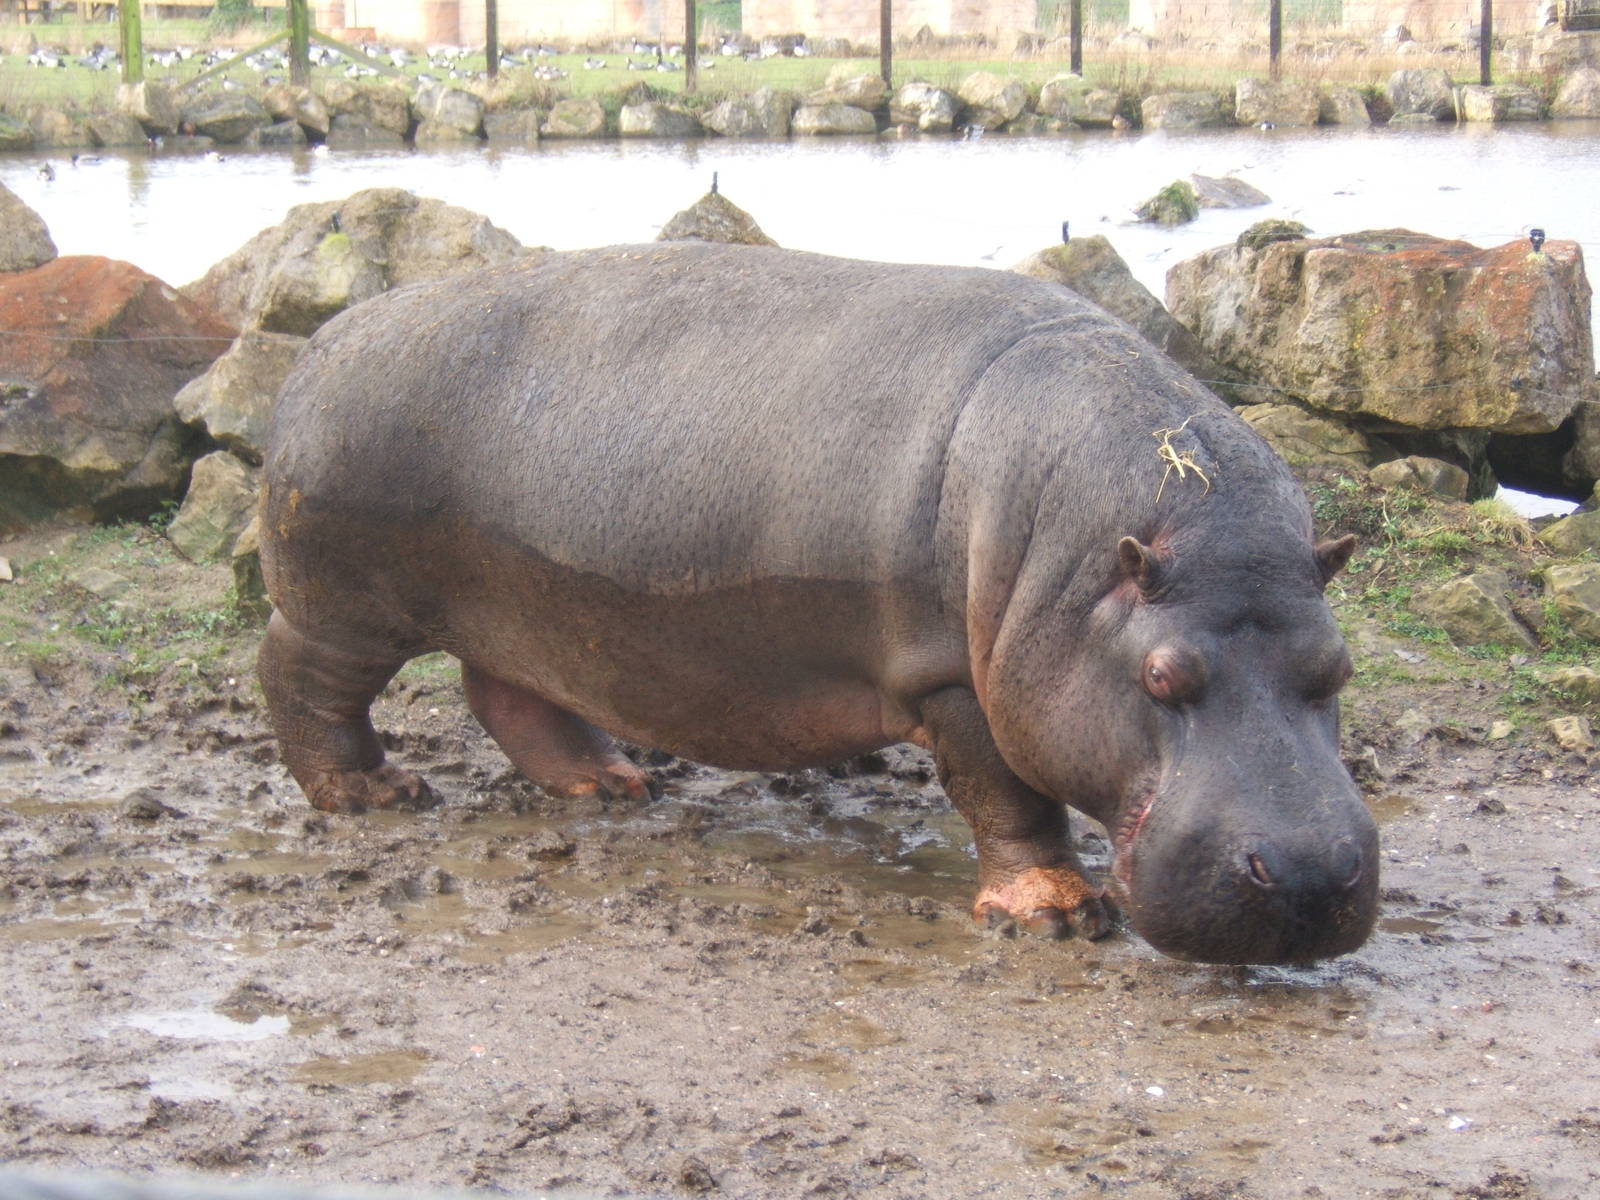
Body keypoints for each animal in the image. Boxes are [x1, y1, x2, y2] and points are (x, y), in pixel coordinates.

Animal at [258, 242, 1378, 965]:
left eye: (1339, 667)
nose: (1310, 877)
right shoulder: (949, 677)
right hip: (340, 601)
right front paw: (1056, 918)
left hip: (526, 606)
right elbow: (1010, 797)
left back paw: (612, 787)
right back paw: (374, 796)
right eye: (1161, 674)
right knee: (302, 678)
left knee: (511, 694)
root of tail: (323, 339)